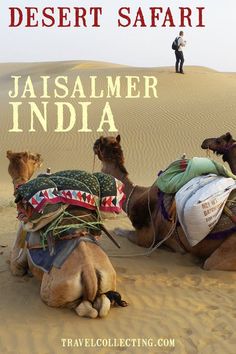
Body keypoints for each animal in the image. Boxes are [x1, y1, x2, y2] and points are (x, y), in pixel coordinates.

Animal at [6, 149, 126, 318]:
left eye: (33, 158)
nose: (40, 156)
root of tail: (89, 273)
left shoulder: (21, 249)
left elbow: (15, 264)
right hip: (109, 279)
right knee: (102, 304)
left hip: (52, 291)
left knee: (83, 308)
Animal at [92, 136, 236, 272]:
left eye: (101, 143)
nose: (94, 143)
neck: (136, 197)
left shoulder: (145, 238)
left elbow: (121, 232)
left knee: (208, 263)